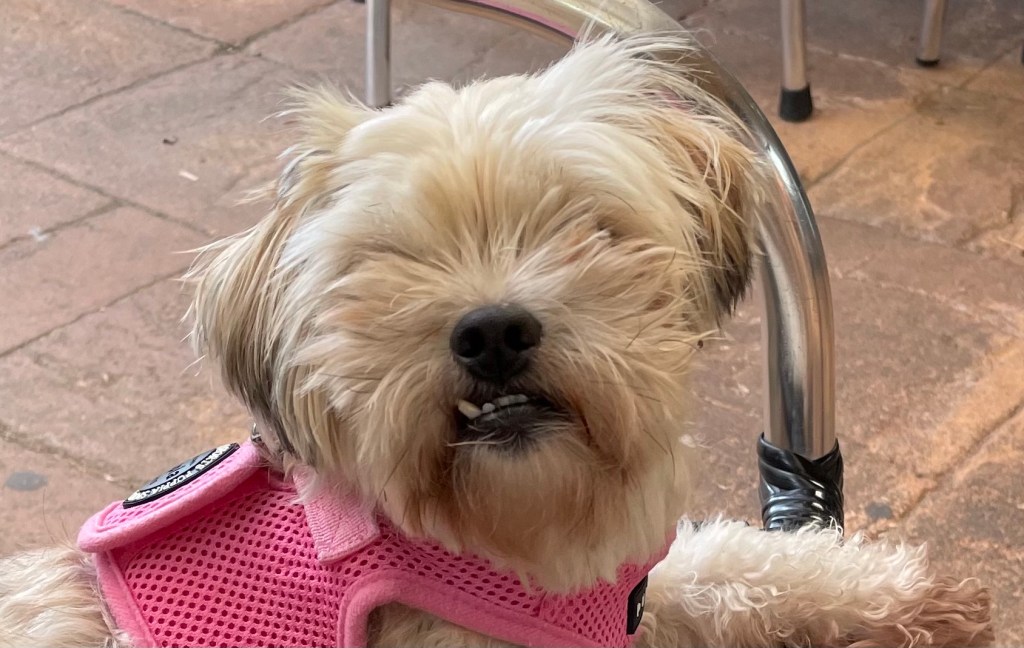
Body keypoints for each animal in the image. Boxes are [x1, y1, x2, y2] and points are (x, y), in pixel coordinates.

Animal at [0, 34, 993, 647]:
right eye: (391, 261)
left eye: (586, 226)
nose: (491, 331)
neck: (515, 539)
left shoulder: (621, 595)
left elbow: (728, 559)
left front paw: (900, 595)